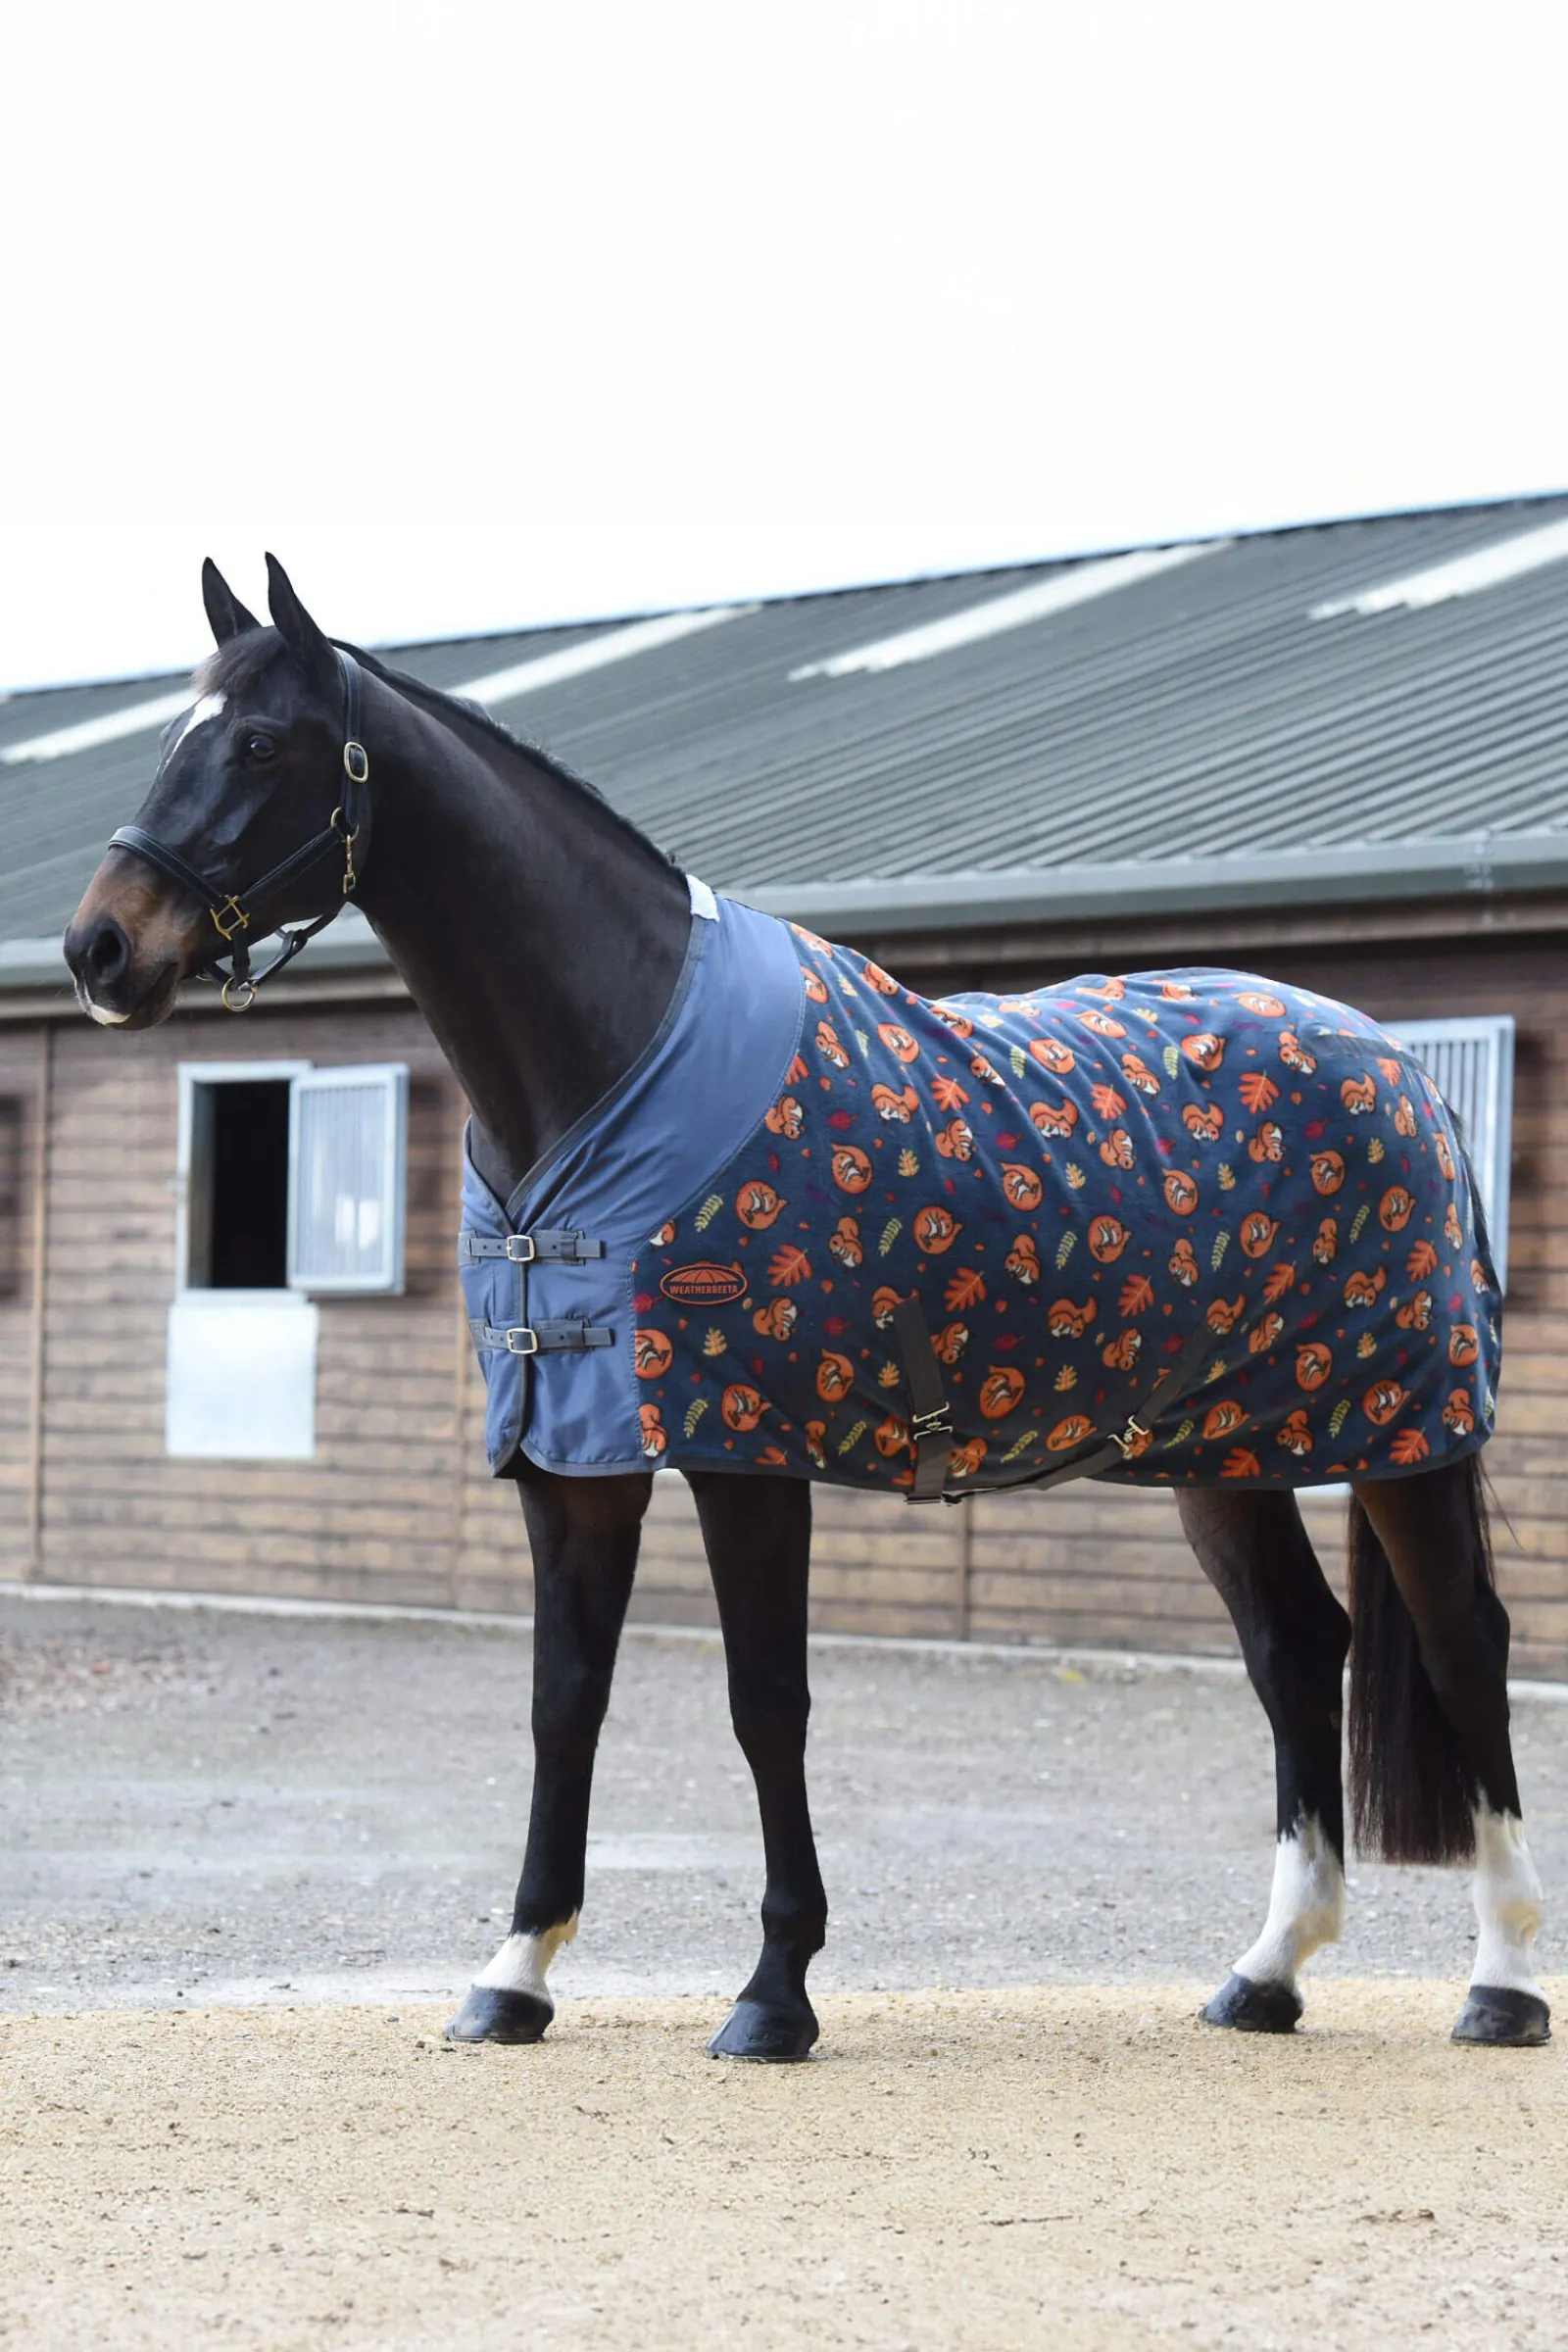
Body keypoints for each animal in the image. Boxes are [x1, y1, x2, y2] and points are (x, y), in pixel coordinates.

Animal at [62, 557, 1549, 2056]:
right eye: (178, 733)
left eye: (262, 743)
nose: (99, 948)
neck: (611, 1057)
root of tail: (1395, 1068)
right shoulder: (571, 1462)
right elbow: (562, 1701)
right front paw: (516, 1972)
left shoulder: (743, 1453)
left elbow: (765, 1702)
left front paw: (774, 1991)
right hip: (1222, 1456)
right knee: (1297, 1651)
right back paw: (1267, 1972)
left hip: (1404, 1433)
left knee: (1464, 1645)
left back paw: (1502, 1982)